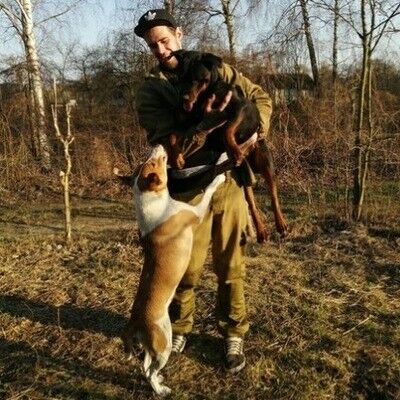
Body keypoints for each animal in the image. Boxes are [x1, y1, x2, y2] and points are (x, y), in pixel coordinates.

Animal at [117, 145, 225, 397]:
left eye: (147, 162)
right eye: (153, 163)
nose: (158, 146)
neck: (151, 204)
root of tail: (135, 321)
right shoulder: (196, 212)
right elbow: (208, 189)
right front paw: (221, 172)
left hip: (155, 344)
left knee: (145, 365)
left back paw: (159, 381)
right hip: (163, 342)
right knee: (149, 371)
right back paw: (161, 390)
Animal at [168, 50, 288, 242]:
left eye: (196, 78)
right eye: (180, 78)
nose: (184, 99)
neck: (205, 96)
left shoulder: (240, 107)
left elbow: (228, 128)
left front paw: (233, 148)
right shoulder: (193, 123)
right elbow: (172, 134)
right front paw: (176, 157)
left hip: (265, 163)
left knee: (273, 194)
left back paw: (281, 224)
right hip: (244, 176)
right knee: (251, 201)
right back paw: (261, 231)